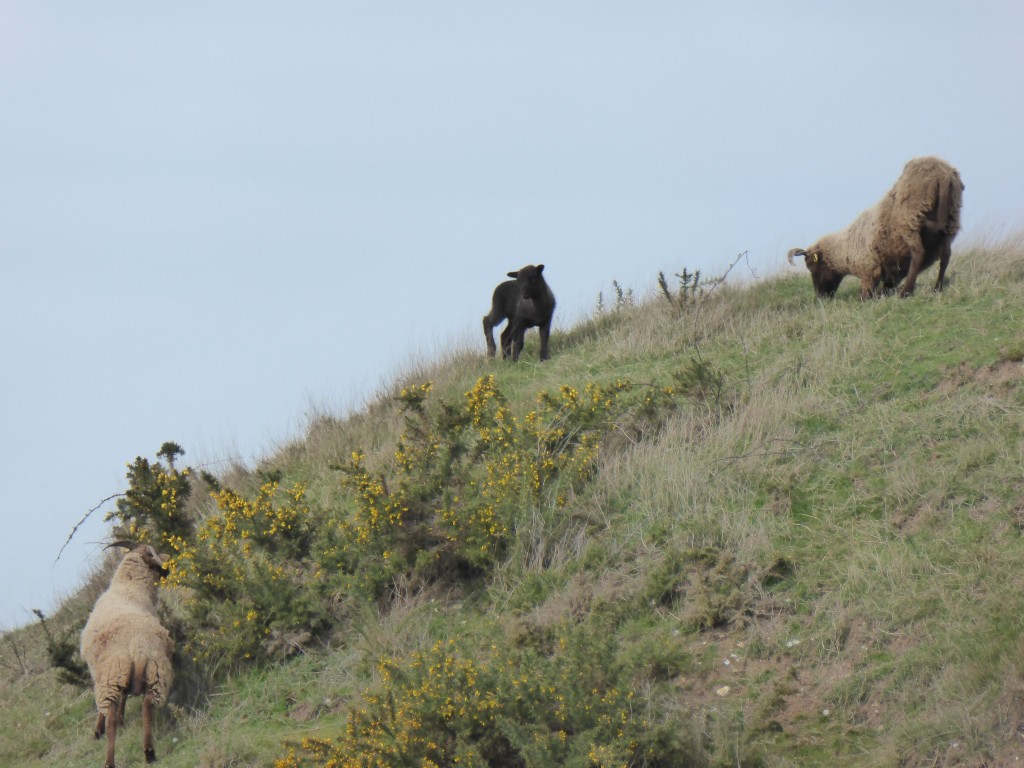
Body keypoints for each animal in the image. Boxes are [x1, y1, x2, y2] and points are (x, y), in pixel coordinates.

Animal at [80, 540, 173, 768]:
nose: (169, 564)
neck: (129, 586)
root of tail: (138, 648)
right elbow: (124, 697)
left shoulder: (100, 673)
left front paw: (98, 729)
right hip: (157, 671)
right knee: (147, 705)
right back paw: (149, 751)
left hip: (111, 676)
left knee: (111, 717)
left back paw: (109, 760)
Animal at [786, 154, 962, 299]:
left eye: (810, 265)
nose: (820, 296)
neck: (844, 249)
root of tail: (942, 174)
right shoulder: (893, 271)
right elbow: (887, 284)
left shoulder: (868, 271)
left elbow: (866, 294)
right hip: (950, 223)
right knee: (945, 255)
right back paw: (937, 288)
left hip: (910, 221)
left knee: (919, 253)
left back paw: (906, 292)